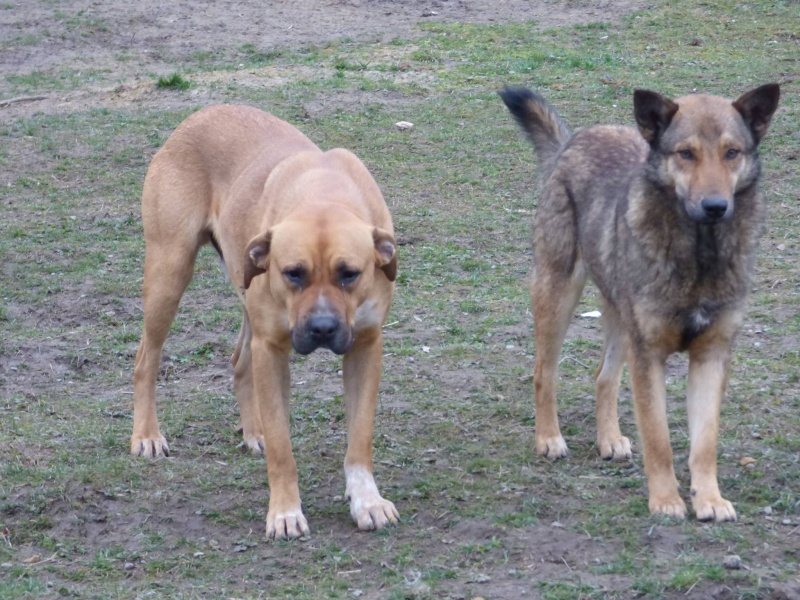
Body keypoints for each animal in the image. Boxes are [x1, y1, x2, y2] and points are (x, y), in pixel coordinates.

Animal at [130, 104, 400, 540]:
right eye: (293, 273)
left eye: (349, 274)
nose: (322, 329)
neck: (323, 193)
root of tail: (201, 112)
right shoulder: (272, 349)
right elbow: (282, 446)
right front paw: (285, 512)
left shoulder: (365, 346)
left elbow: (360, 437)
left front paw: (367, 501)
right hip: (169, 272)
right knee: (145, 359)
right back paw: (147, 436)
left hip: (244, 289)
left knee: (239, 360)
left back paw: (251, 431)